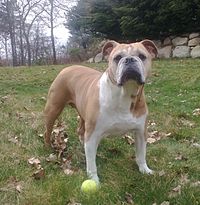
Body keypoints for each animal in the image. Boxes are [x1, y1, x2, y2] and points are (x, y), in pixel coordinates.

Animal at [43, 39, 158, 183]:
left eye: (142, 56)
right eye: (117, 57)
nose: (130, 59)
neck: (124, 93)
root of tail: (67, 68)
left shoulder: (141, 132)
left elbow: (141, 153)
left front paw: (144, 170)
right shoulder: (93, 134)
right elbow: (91, 163)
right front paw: (94, 180)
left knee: (80, 130)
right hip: (53, 108)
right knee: (48, 129)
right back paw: (48, 147)